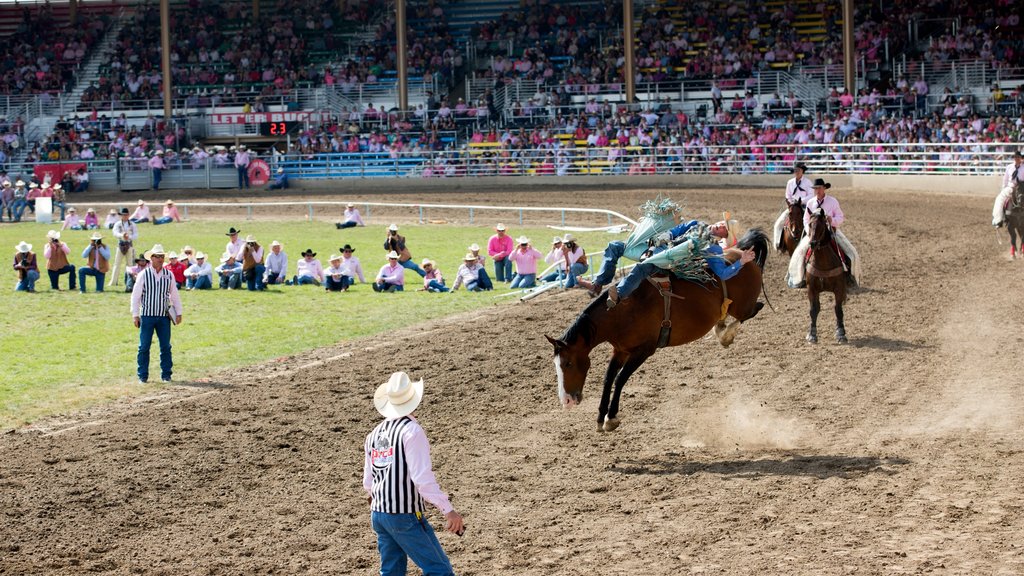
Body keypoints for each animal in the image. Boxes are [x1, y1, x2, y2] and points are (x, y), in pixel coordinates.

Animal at [548, 228, 765, 430]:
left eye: (568, 363)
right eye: (556, 365)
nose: (566, 401)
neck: (623, 309)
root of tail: (741, 253)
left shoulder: (644, 350)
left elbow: (619, 379)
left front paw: (611, 418)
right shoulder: (620, 350)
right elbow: (608, 378)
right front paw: (601, 416)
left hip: (743, 306)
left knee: (754, 309)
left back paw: (725, 335)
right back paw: (720, 327)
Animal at [806, 207, 847, 340]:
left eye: (821, 225)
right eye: (809, 224)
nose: (813, 243)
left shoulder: (839, 288)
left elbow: (838, 309)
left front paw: (841, 333)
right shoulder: (811, 289)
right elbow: (813, 310)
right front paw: (812, 334)